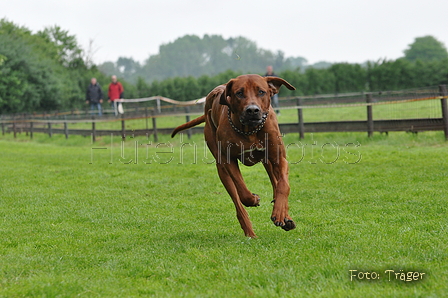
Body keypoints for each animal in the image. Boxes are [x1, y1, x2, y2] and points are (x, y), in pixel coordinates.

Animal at [172, 74, 298, 237]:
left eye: (261, 92)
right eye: (239, 93)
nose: (252, 110)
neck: (249, 130)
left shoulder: (278, 158)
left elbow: (283, 185)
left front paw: (281, 213)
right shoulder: (229, 161)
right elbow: (242, 191)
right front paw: (254, 199)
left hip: (267, 161)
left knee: (275, 182)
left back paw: (284, 216)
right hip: (221, 167)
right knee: (238, 203)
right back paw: (250, 232)